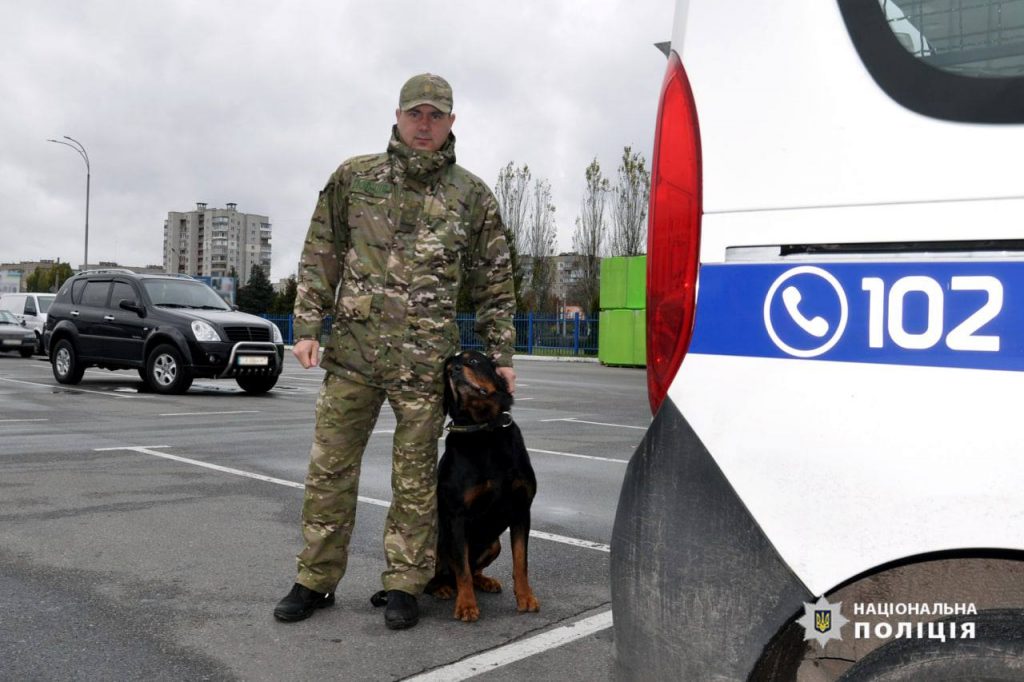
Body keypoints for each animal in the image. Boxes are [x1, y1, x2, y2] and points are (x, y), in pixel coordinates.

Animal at [423, 348, 540, 618]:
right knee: (443, 574)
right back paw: (442, 588)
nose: (455, 371)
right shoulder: (457, 515)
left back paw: (485, 581)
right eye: (447, 369)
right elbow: (462, 568)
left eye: (473, 360)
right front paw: (466, 605)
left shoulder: (521, 509)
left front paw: (526, 597)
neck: (484, 429)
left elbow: (521, 562)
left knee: (473, 569)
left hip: (494, 543)